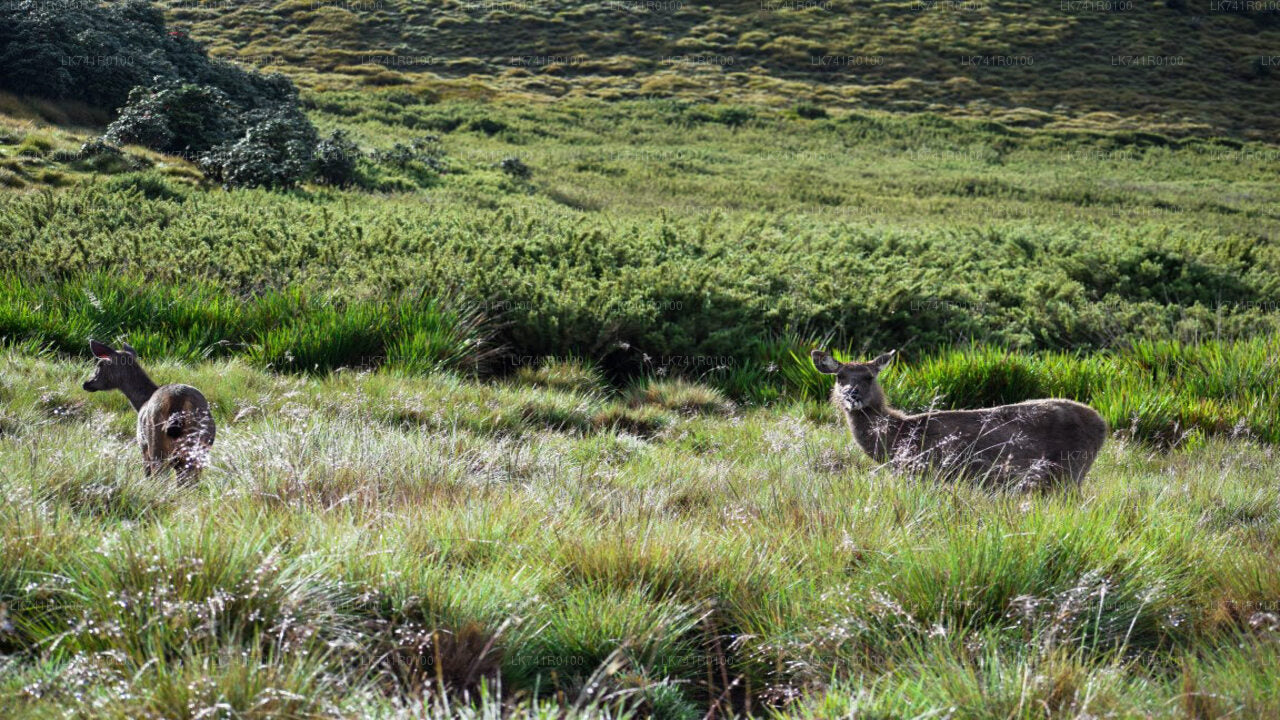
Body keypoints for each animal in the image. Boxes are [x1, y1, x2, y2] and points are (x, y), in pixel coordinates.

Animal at [81, 338, 215, 479]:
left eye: (100, 364)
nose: (86, 383)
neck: (141, 402)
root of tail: (178, 401)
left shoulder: (142, 445)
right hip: (200, 446)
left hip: (155, 441)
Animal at [814, 348, 1105, 486]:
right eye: (840, 376)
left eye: (868, 376)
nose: (851, 394)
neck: (898, 436)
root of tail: (1103, 424)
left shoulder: (926, 470)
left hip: (1071, 470)